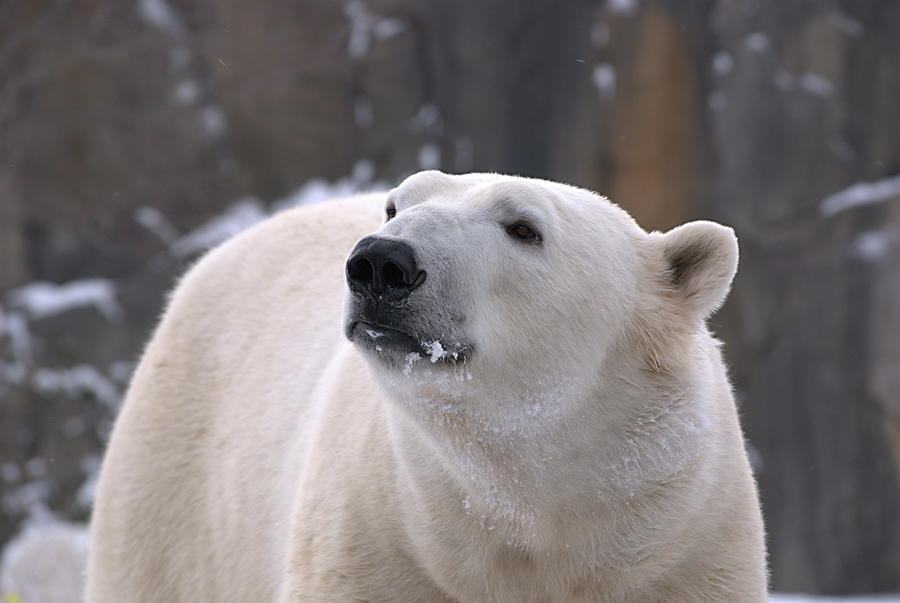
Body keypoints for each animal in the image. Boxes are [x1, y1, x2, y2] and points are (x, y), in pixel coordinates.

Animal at [86, 171, 768, 603]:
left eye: (524, 227)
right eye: (395, 204)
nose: (381, 262)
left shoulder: (684, 552)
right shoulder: (379, 542)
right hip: (172, 497)